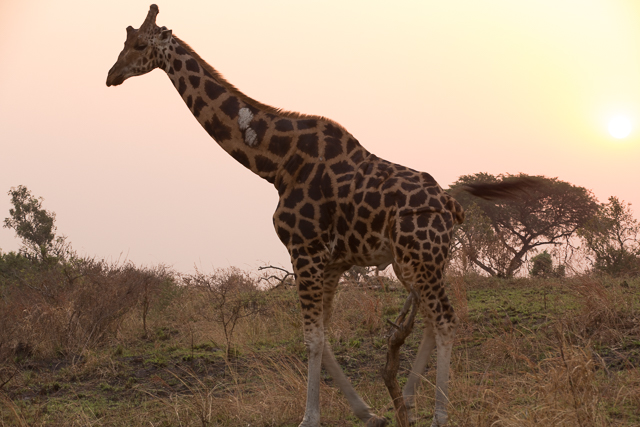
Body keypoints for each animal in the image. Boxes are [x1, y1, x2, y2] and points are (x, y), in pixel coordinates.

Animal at [107, 4, 532, 427]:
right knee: (429, 319)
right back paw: (407, 401)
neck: (276, 164)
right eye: (124, 40)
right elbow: (324, 335)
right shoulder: (331, 261)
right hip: (413, 262)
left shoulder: (305, 249)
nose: (112, 76)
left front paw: (310, 417)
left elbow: (312, 338)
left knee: (444, 319)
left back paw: (438, 415)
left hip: (421, 256)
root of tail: (452, 206)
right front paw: (368, 412)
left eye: (140, 44)